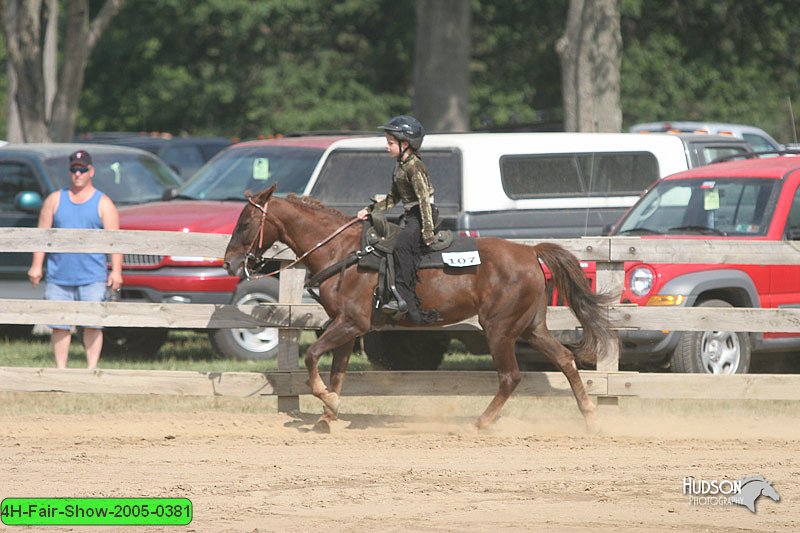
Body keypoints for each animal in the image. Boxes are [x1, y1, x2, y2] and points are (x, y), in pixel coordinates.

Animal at [222, 185, 616, 430]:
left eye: (246, 222)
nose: (229, 263)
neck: (344, 252)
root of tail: (531, 252)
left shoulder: (352, 323)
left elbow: (311, 356)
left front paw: (327, 403)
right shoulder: (345, 328)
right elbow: (337, 372)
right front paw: (328, 415)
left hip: (500, 330)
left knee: (510, 377)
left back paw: (481, 422)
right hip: (531, 328)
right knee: (565, 359)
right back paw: (590, 417)